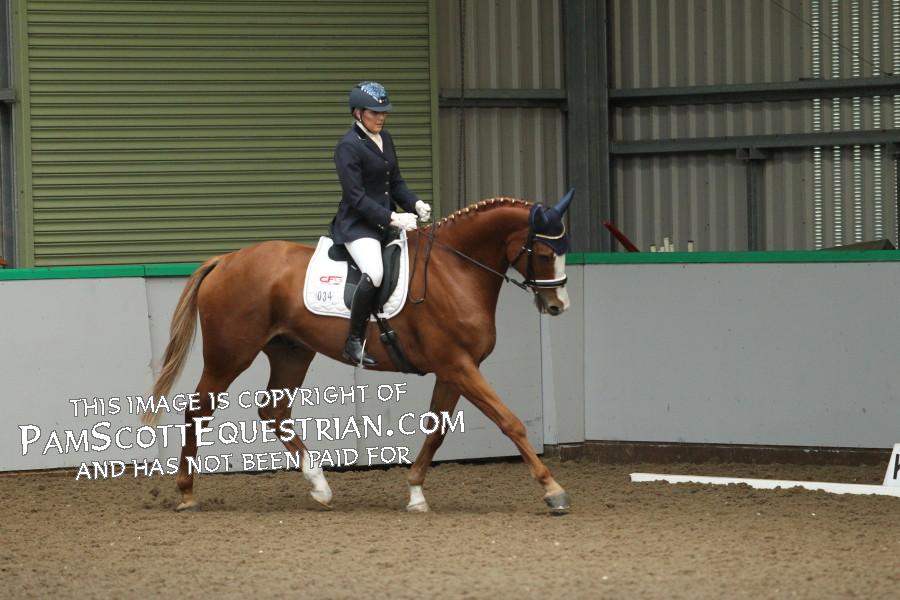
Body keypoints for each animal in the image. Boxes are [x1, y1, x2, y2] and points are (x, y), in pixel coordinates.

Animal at [143, 190, 575, 515]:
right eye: (543, 253)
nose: (558, 306)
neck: (455, 268)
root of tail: (226, 260)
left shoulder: (453, 371)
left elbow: (436, 432)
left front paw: (415, 492)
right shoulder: (460, 366)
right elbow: (510, 422)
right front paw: (553, 491)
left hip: (291, 353)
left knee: (273, 411)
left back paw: (319, 485)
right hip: (229, 355)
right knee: (198, 411)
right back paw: (186, 493)